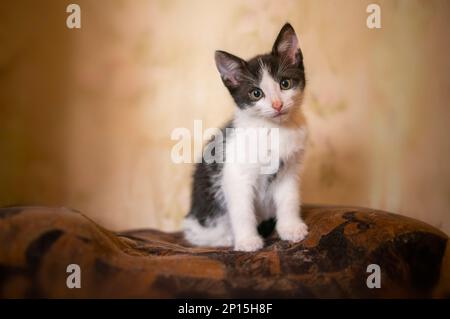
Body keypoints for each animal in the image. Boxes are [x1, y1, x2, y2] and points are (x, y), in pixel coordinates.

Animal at [182, 23, 306, 252]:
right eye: (256, 93)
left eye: (285, 83)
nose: (277, 104)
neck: (273, 129)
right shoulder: (235, 175)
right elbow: (242, 210)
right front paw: (247, 241)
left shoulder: (289, 170)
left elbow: (289, 199)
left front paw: (291, 228)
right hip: (203, 216)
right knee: (195, 234)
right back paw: (225, 238)